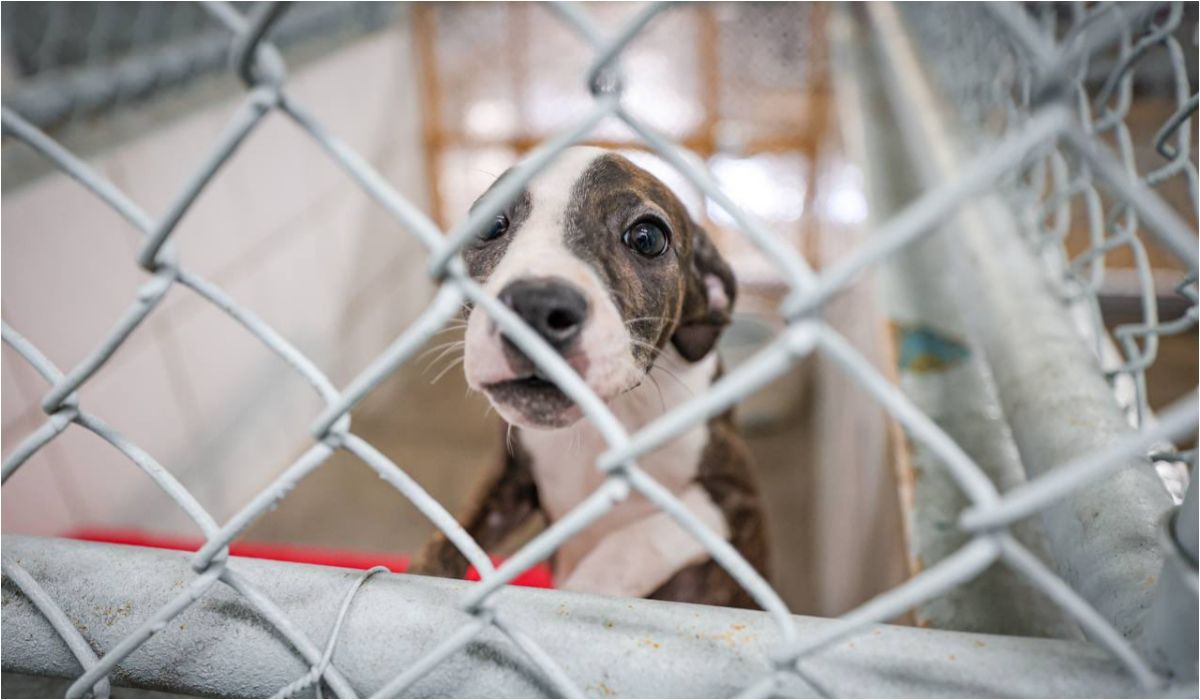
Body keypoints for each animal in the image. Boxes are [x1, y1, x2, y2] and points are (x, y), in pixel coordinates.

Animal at [412, 145, 768, 605]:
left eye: (648, 238)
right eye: (491, 224)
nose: (535, 305)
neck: (608, 421)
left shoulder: (735, 500)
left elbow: (639, 540)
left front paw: (583, 592)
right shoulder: (509, 479)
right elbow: (455, 534)